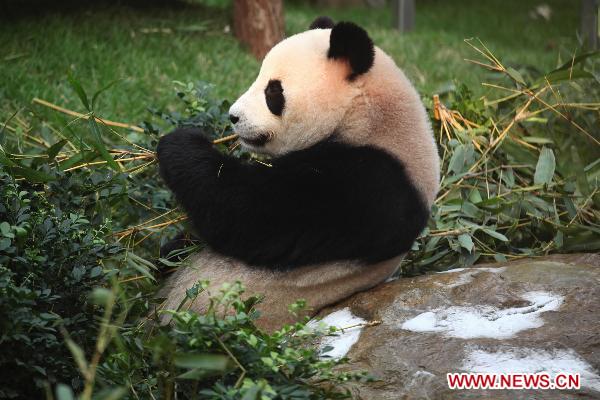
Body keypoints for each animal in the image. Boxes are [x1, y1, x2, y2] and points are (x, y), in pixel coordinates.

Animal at [156, 17, 440, 330]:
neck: (368, 117)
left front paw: (180, 142)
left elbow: (249, 214)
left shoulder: (369, 184)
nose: (233, 116)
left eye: (273, 90)